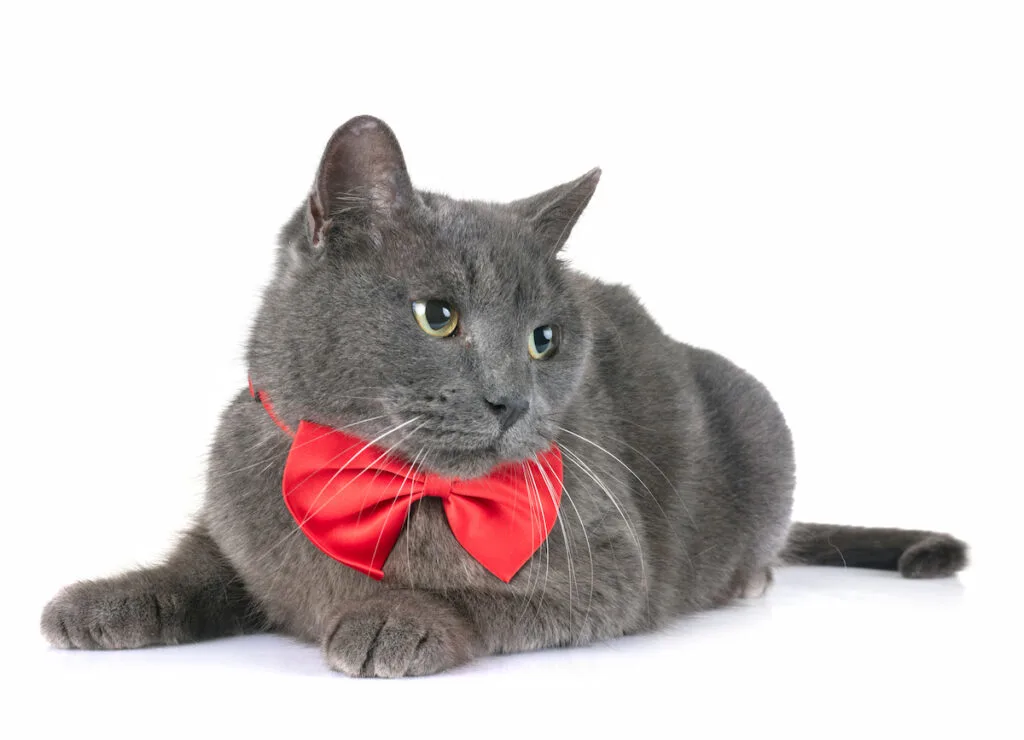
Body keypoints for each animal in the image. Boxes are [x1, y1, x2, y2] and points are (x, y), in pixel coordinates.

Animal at [39, 114, 966, 675]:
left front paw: (396, 618)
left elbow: (479, 595)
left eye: (543, 340)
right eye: (438, 316)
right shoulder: (236, 511)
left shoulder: (606, 569)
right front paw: (104, 601)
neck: (375, 483)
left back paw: (747, 578)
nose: (510, 400)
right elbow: (195, 570)